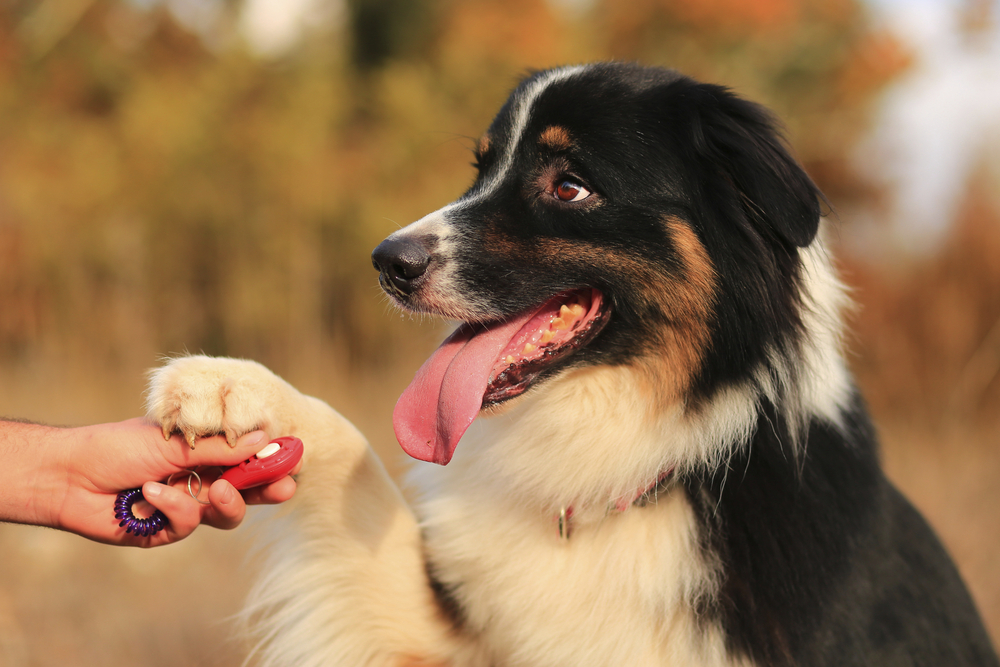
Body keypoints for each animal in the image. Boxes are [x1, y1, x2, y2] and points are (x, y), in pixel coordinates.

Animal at [145, 64, 996, 667]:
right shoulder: (454, 636)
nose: (388, 261)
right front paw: (227, 383)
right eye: (480, 170)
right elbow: (357, 462)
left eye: (571, 184)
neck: (627, 471)